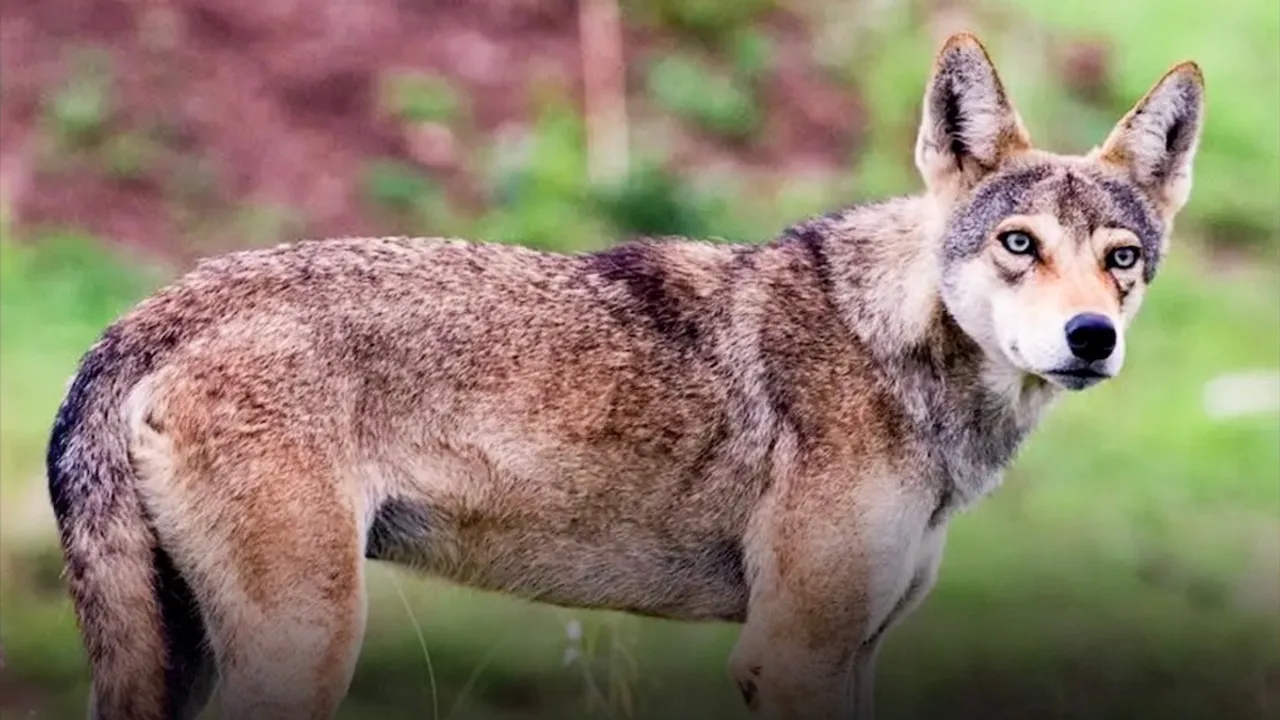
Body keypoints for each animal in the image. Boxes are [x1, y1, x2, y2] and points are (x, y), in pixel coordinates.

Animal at [46, 32, 1203, 720]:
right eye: (1017, 245)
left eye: (1121, 259)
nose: (1090, 337)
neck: (895, 351)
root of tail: (147, 315)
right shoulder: (792, 654)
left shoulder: (853, 652)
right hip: (305, 648)